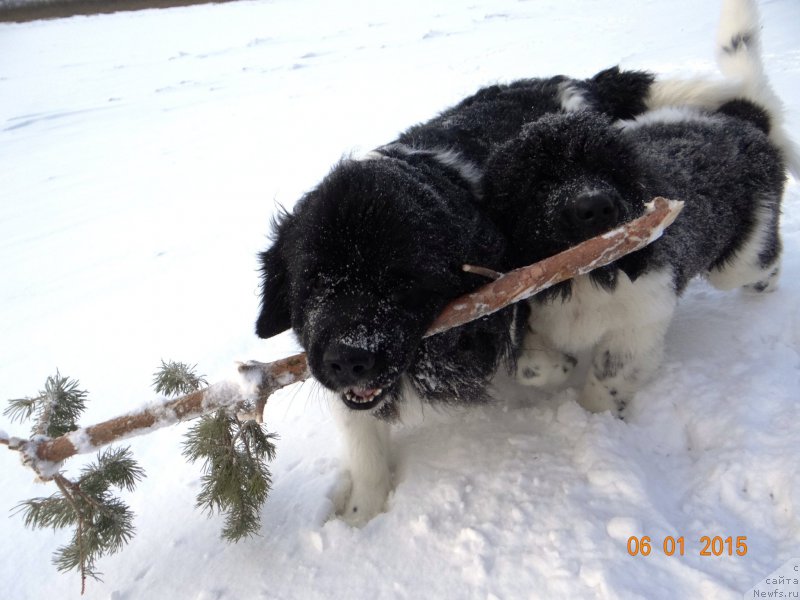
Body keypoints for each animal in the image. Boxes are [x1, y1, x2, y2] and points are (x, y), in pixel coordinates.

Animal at [482, 0, 792, 420]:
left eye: (610, 171)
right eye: (540, 183)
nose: (596, 207)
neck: (587, 274)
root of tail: (742, 119)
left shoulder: (640, 318)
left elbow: (610, 375)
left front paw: (597, 421)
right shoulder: (531, 303)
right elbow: (527, 363)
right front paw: (559, 367)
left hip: (740, 255)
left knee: (760, 260)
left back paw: (765, 287)